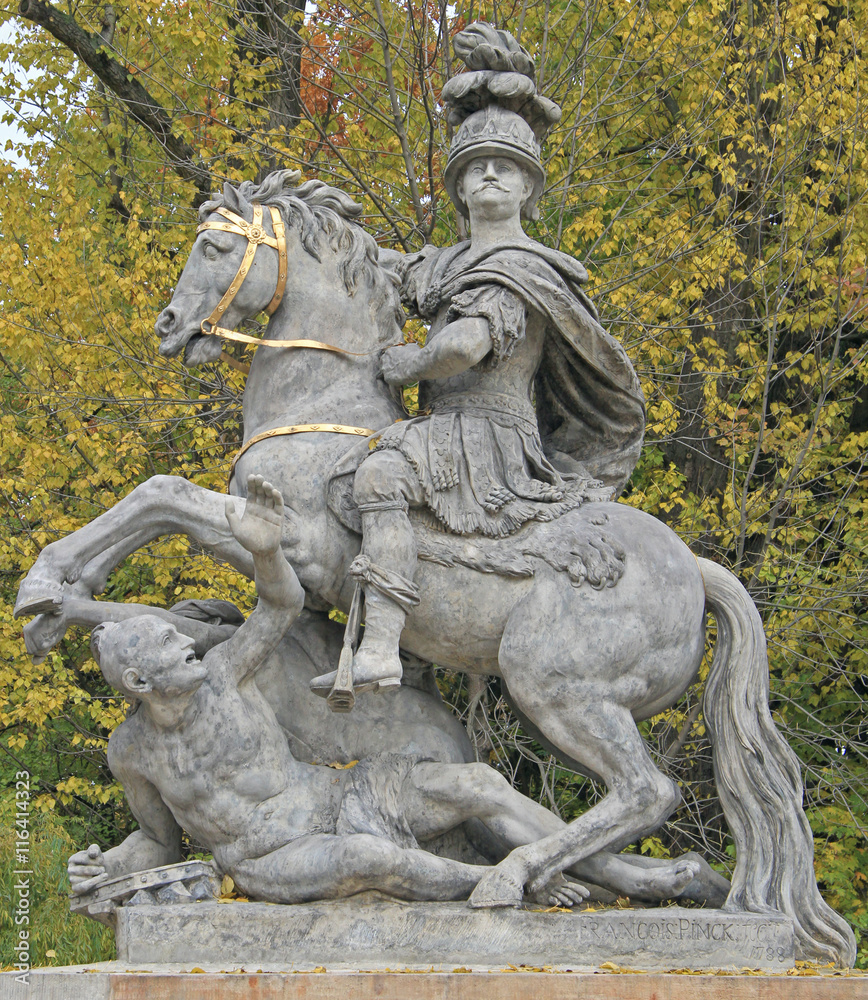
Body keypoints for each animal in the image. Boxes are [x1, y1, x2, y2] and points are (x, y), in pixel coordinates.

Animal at [13, 170, 856, 960]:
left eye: (215, 248)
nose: (169, 327)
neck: (323, 407)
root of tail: (697, 569)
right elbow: (163, 513)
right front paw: (57, 605)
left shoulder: (289, 541)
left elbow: (161, 494)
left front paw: (42, 585)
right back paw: (649, 880)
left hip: (556, 687)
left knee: (644, 791)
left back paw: (513, 880)